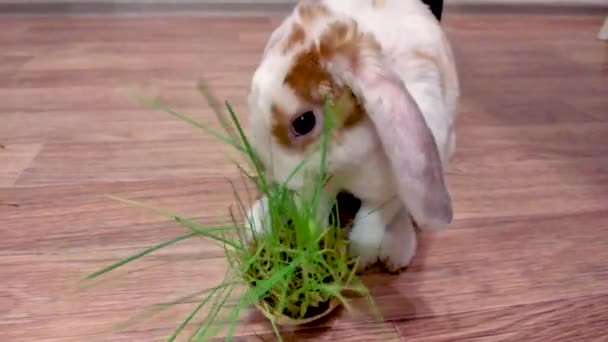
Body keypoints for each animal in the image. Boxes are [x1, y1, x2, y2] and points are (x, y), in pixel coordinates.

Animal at [242, 0, 456, 272]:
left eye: (304, 122)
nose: (266, 165)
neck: (346, 161)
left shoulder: (389, 190)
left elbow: (372, 218)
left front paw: (360, 255)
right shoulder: (317, 184)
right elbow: (316, 207)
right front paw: (313, 235)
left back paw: (396, 252)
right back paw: (258, 224)